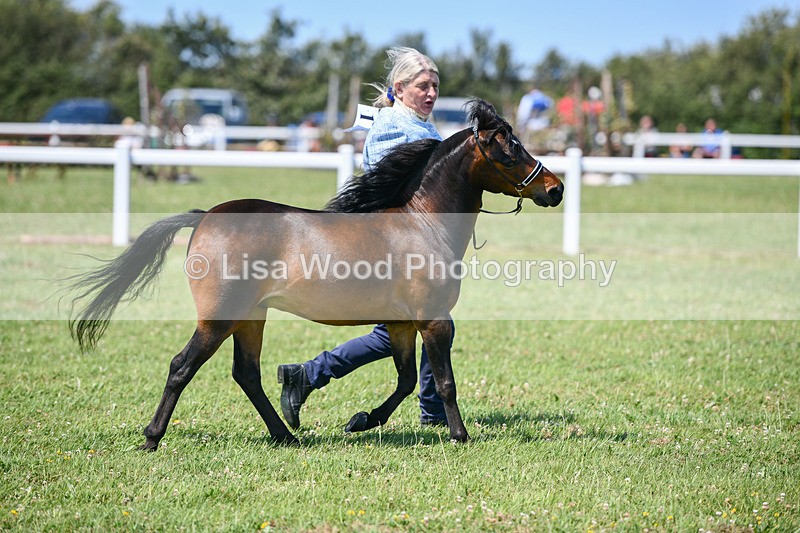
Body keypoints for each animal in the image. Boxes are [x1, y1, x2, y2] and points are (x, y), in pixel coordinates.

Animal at [68, 99, 563, 450]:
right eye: (510, 149)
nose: (555, 188)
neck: (423, 223)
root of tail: (205, 216)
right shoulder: (434, 320)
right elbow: (444, 381)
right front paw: (460, 435)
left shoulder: (403, 324)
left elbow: (405, 380)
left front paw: (362, 421)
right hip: (219, 318)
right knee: (181, 367)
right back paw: (152, 438)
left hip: (252, 317)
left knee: (247, 373)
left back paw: (286, 435)